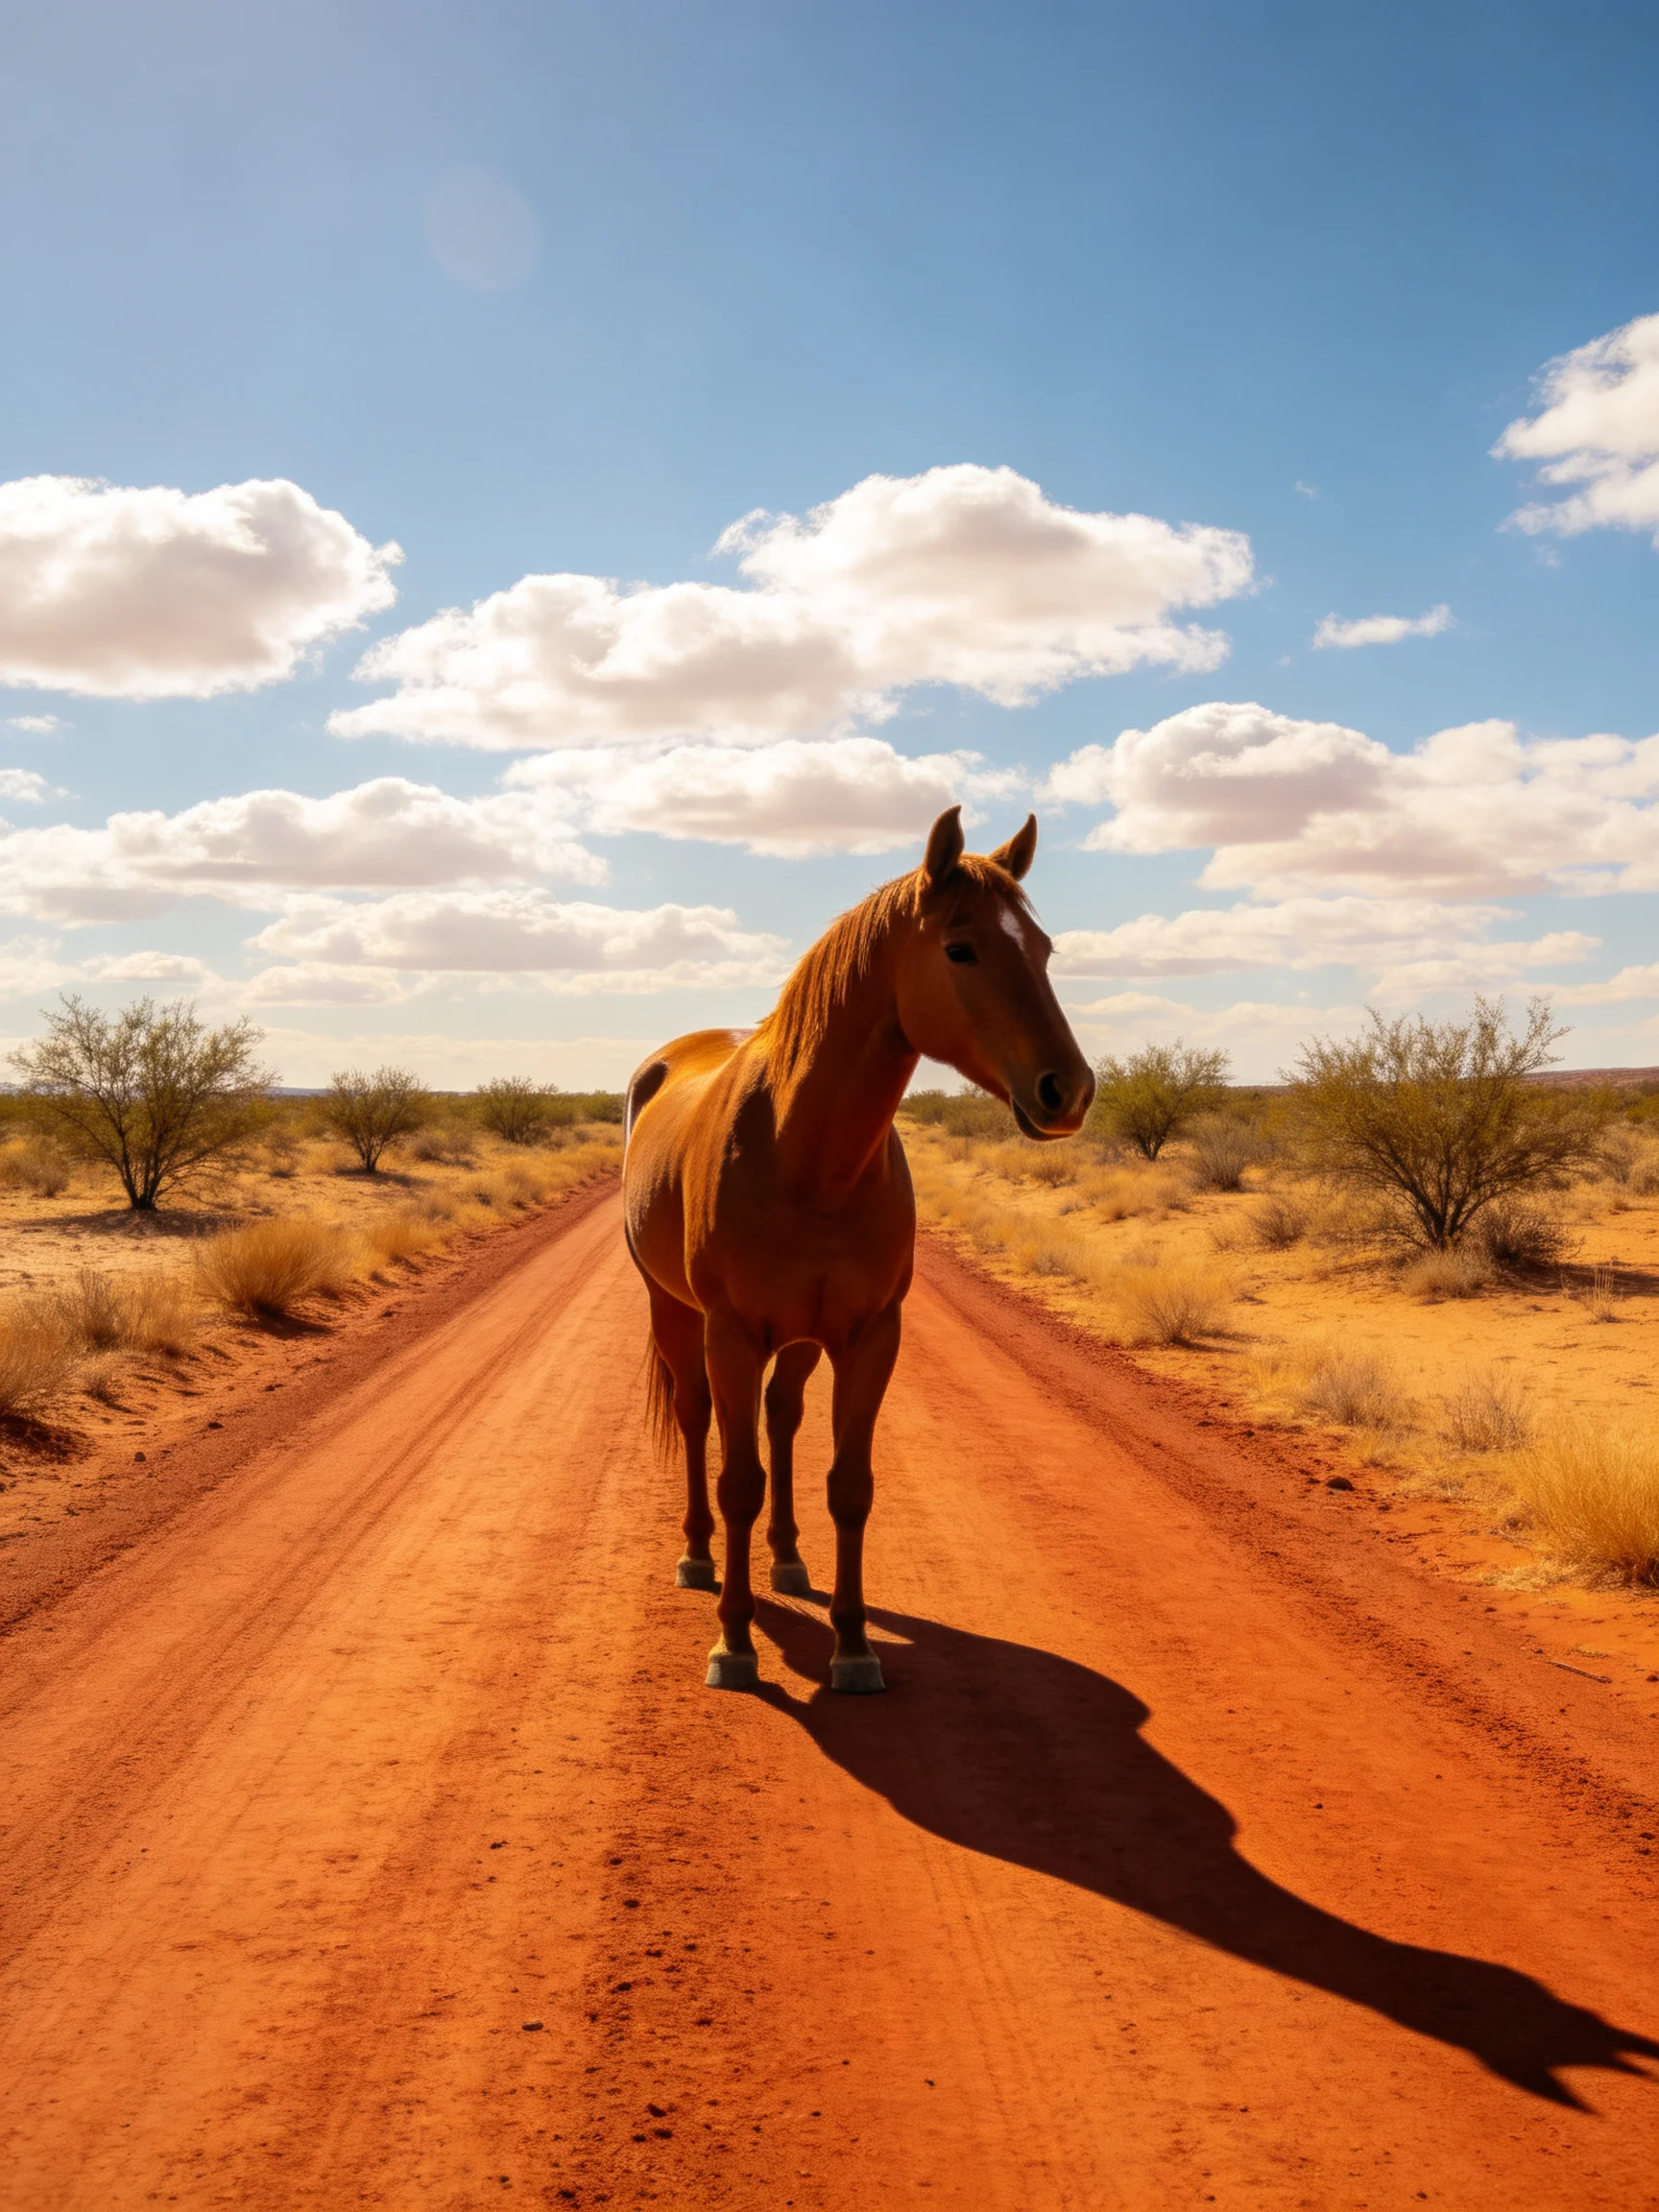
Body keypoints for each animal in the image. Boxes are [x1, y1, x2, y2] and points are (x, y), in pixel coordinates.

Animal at [622, 805, 1095, 1694]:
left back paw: (788, 1560)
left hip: (804, 1339)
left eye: (1045, 950)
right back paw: (699, 1557)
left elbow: (850, 1485)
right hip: (675, 1312)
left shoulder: (870, 1336)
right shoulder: (732, 1333)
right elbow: (739, 1482)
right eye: (961, 948)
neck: (805, 1153)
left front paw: (851, 1643)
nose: (1070, 1091)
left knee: (781, 1418)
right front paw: (734, 1642)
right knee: (699, 1419)